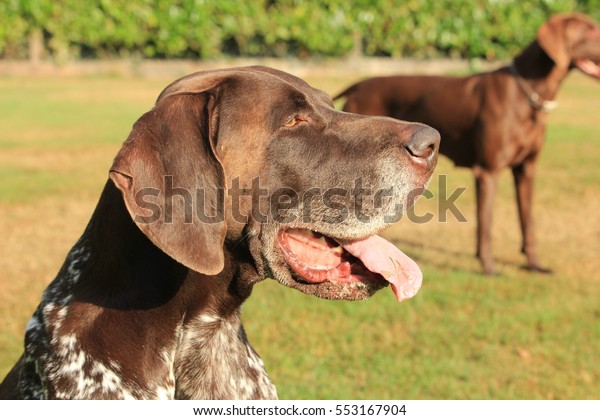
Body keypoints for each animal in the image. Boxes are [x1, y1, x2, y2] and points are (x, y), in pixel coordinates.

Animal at [336, 13, 600, 274]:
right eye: (589, 30)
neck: (526, 94)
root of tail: (358, 86)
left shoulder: (526, 169)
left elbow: (528, 222)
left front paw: (534, 264)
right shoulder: (487, 172)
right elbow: (486, 224)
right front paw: (488, 267)